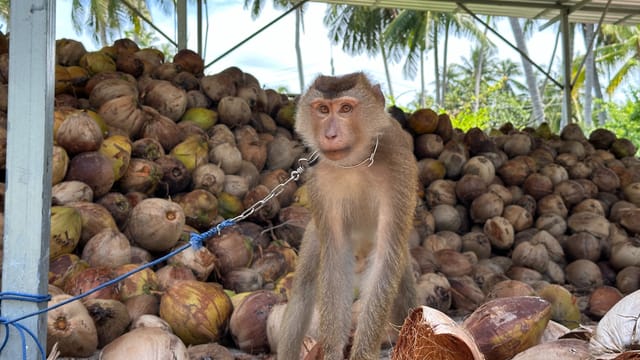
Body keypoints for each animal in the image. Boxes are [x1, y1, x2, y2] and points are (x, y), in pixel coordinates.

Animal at [276, 73, 418, 360]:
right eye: (322, 109)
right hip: (313, 233)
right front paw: (331, 351)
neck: (356, 162)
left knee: (403, 291)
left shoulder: (400, 170)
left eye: (345, 109)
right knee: (303, 290)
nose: (330, 134)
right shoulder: (319, 183)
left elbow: (386, 257)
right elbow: (336, 257)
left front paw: (363, 352)